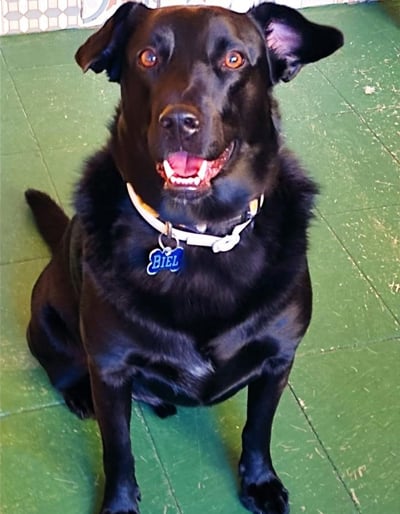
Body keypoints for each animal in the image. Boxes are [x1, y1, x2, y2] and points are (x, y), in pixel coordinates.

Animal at [25, 3, 343, 513]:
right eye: (148, 57)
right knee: (61, 366)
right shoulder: (110, 368)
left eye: (234, 60)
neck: (198, 235)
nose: (179, 121)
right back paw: (81, 394)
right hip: (51, 326)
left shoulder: (279, 359)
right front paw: (118, 503)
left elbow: (258, 430)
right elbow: (118, 451)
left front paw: (259, 482)